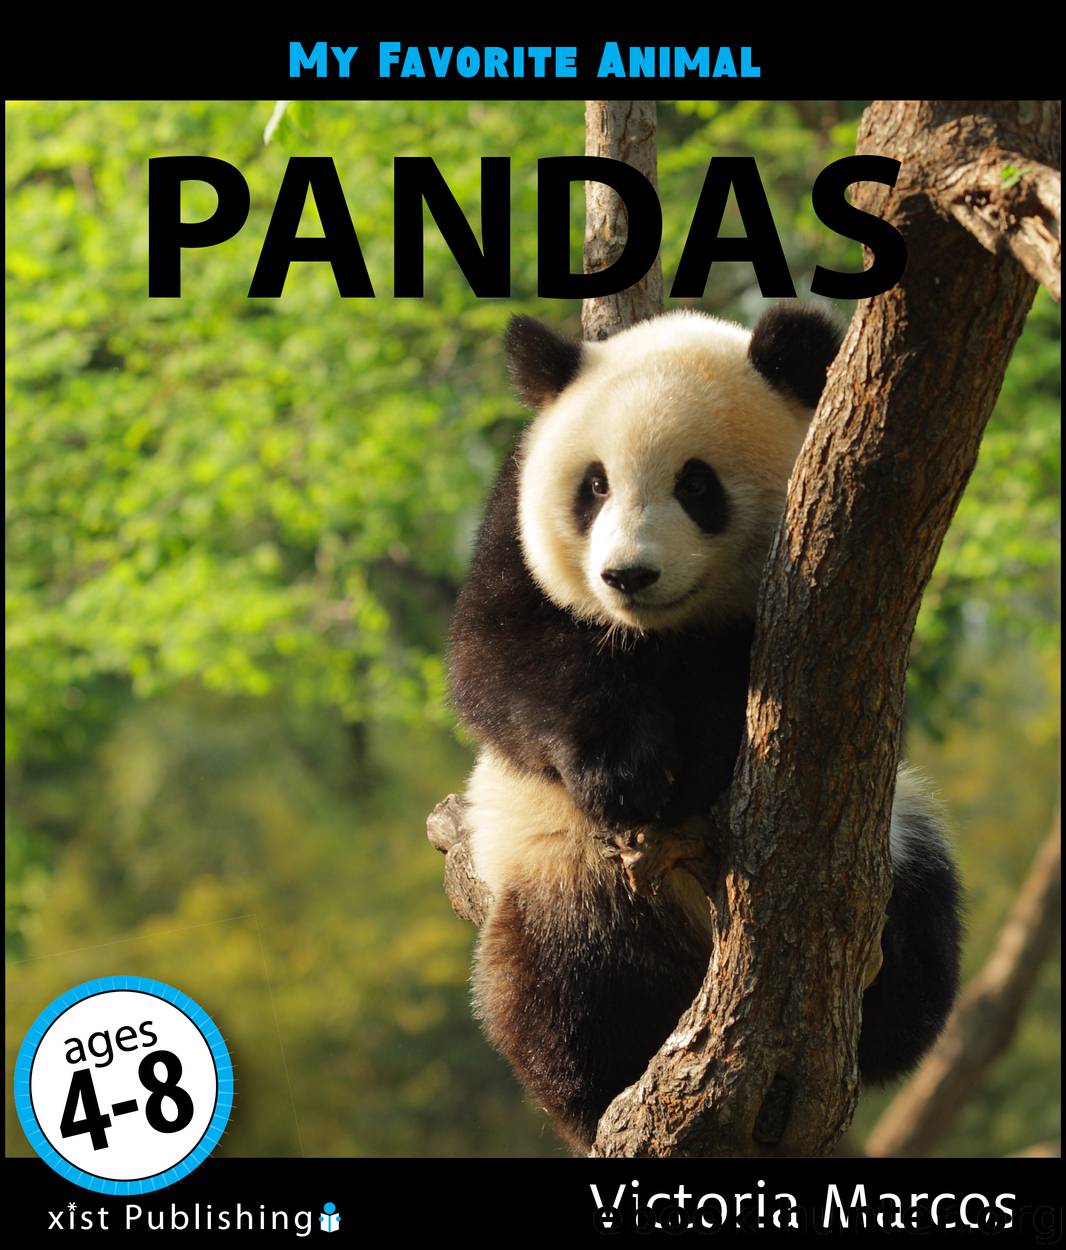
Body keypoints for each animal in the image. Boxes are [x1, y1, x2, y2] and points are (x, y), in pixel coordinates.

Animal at [448, 306, 962, 1154]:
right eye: (594, 485)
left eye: (696, 484)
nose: (628, 575)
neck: (661, 632)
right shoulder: (510, 539)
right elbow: (503, 662)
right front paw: (628, 772)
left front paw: (695, 760)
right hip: (563, 868)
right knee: (566, 981)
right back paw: (599, 1090)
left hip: (893, 836)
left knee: (921, 922)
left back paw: (882, 1008)